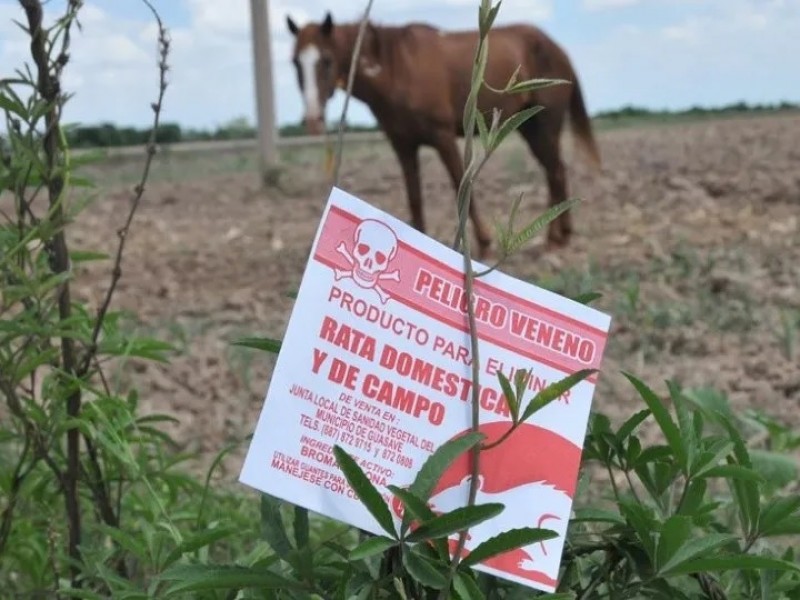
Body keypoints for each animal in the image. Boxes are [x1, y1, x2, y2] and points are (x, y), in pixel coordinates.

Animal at [288, 11, 600, 255]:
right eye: (294, 62)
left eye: (326, 59)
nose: (313, 119)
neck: (398, 68)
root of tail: (556, 48)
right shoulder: (403, 145)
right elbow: (414, 197)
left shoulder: (443, 137)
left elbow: (460, 187)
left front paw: (484, 243)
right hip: (529, 128)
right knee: (552, 170)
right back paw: (555, 235)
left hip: (545, 125)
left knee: (556, 171)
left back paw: (558, 239)